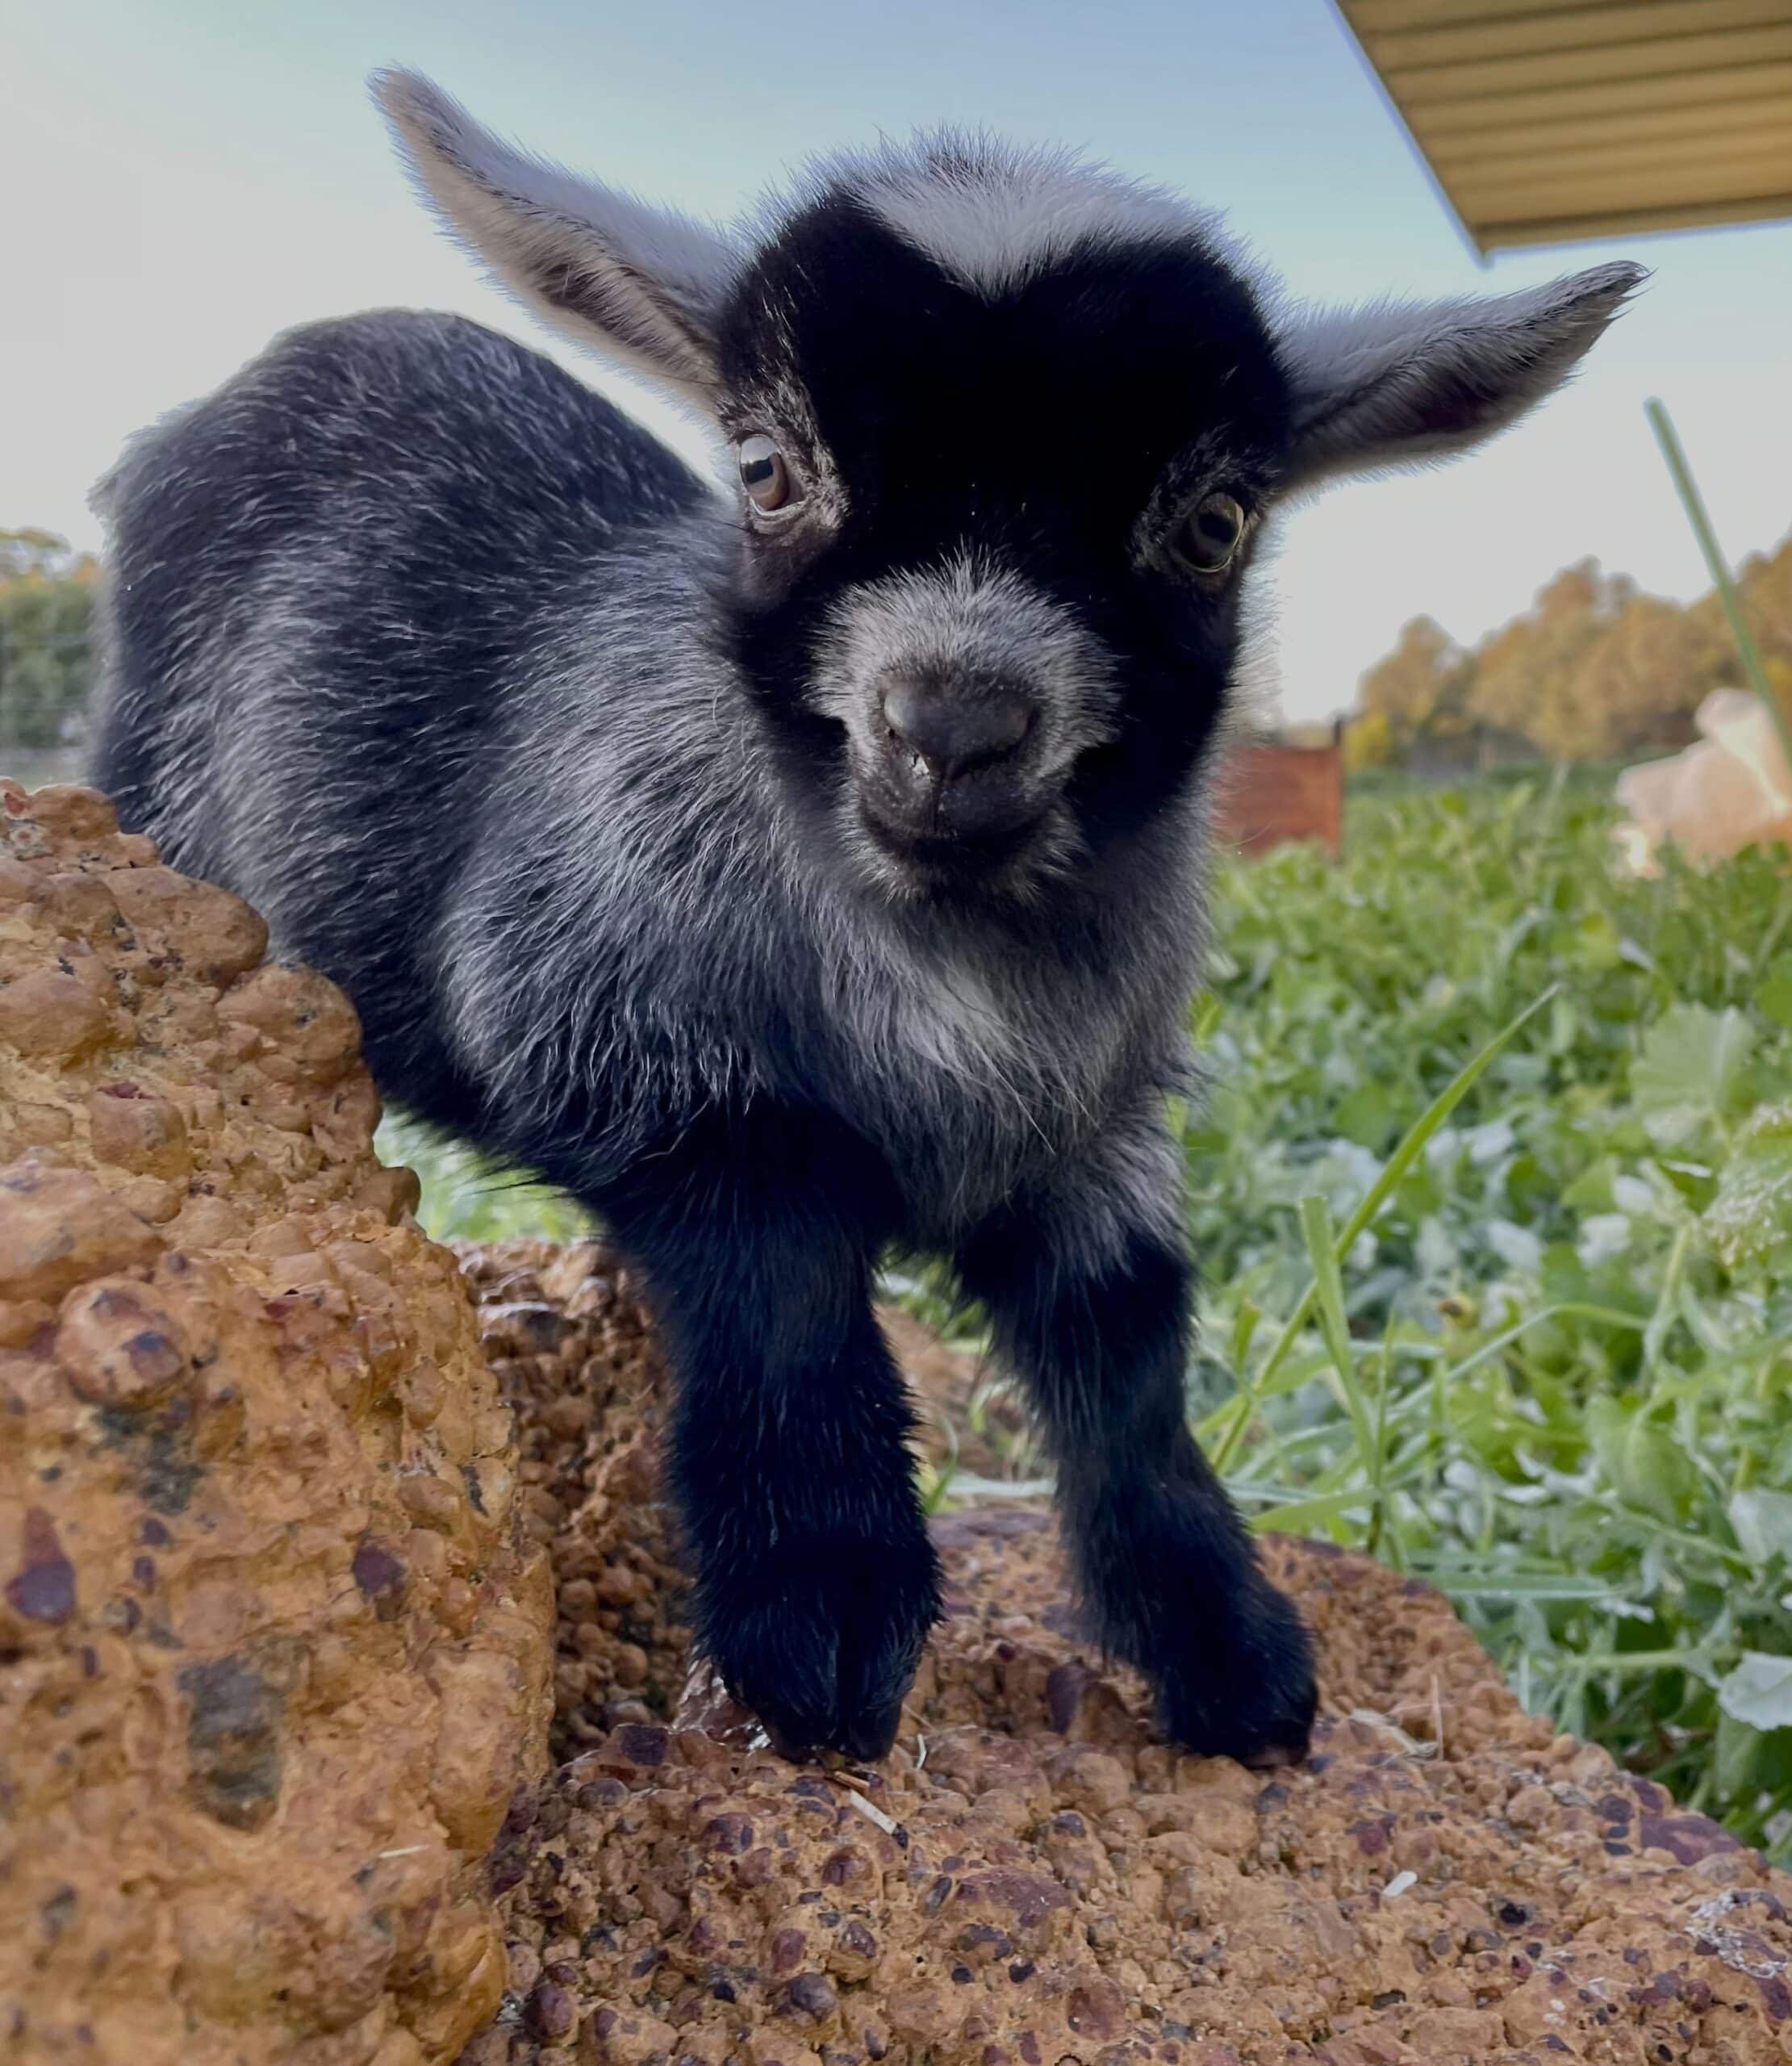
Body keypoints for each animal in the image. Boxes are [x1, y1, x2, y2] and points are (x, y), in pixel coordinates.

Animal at [91, 69, 1642, 1763]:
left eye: (1216, 522)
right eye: (768, 468)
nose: (951, 725)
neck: (945, 949)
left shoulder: (1097, 1125)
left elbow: (1132, 1355)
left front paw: (1225, 1641)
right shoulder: (611, 1027)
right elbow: (786, 1280)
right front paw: (822, 1609)